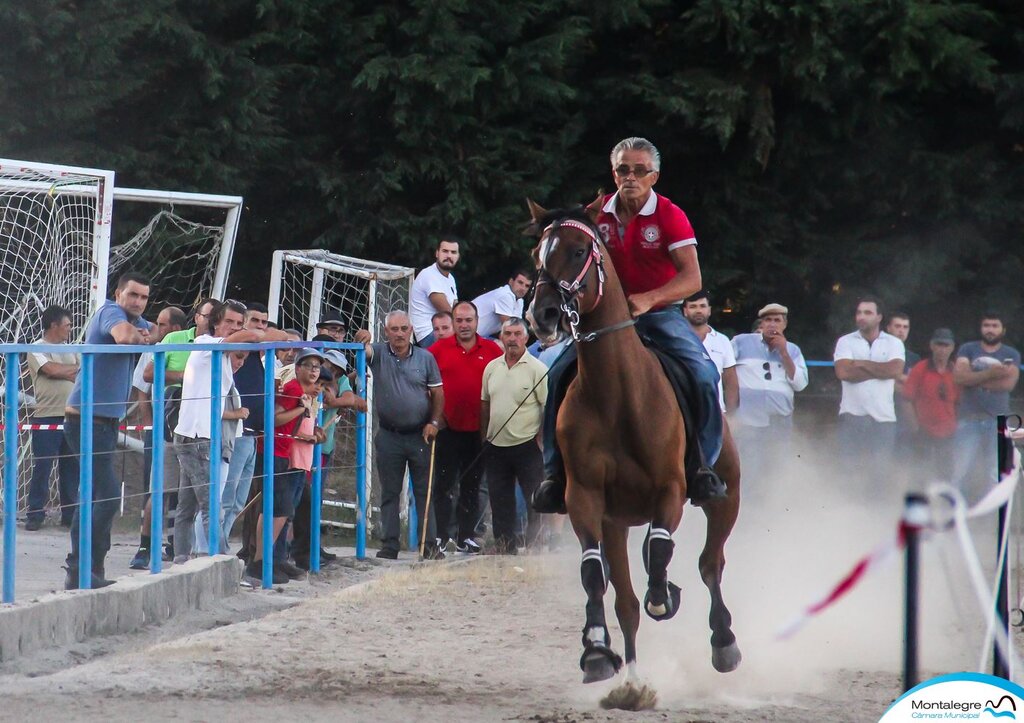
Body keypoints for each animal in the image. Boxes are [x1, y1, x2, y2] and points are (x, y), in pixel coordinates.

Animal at [528, 196, 745, 692]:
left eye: (576, 251)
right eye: (537, 254)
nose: (542, 315)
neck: (618, 395)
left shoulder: (670, 490)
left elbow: (663, 555)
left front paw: (666, 596)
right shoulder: (585, 498)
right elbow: (595, 575)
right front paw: (595, 650)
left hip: (727, 496)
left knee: (710, 562)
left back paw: (723, 642)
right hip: (616, 521)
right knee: (625, 599)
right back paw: (627, 673)